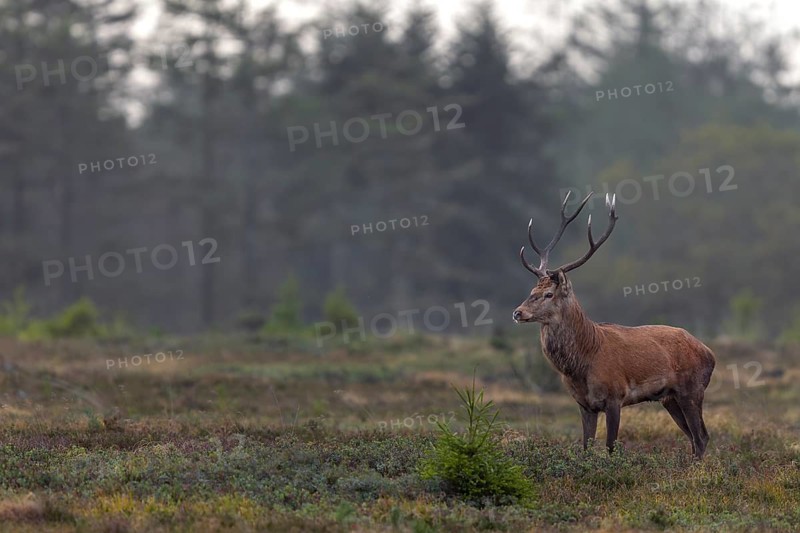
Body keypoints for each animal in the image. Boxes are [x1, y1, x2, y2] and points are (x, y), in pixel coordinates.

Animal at [512, 192, 716, 458]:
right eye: (532, 291)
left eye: (548, 294)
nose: (518, 312)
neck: (581, 365)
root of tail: (710, 353)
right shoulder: (584, 404)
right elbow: (586, 447)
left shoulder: (614, 396)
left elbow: (611, 447)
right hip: (669, 398)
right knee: (692, 437)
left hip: (692, 389)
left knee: (701, 436)